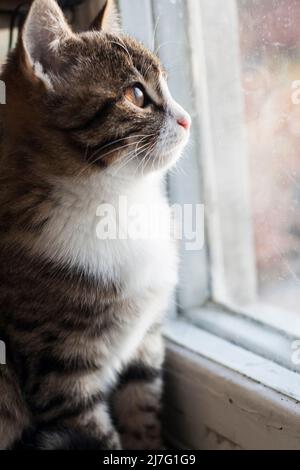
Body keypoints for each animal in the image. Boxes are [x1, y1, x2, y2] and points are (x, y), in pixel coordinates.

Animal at [0, 0, 191, 450]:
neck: (115, 199)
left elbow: (142, 406)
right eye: (136, 95)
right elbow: (94, 434)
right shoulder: (59, 374)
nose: (187, 119)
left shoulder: (145, 341)